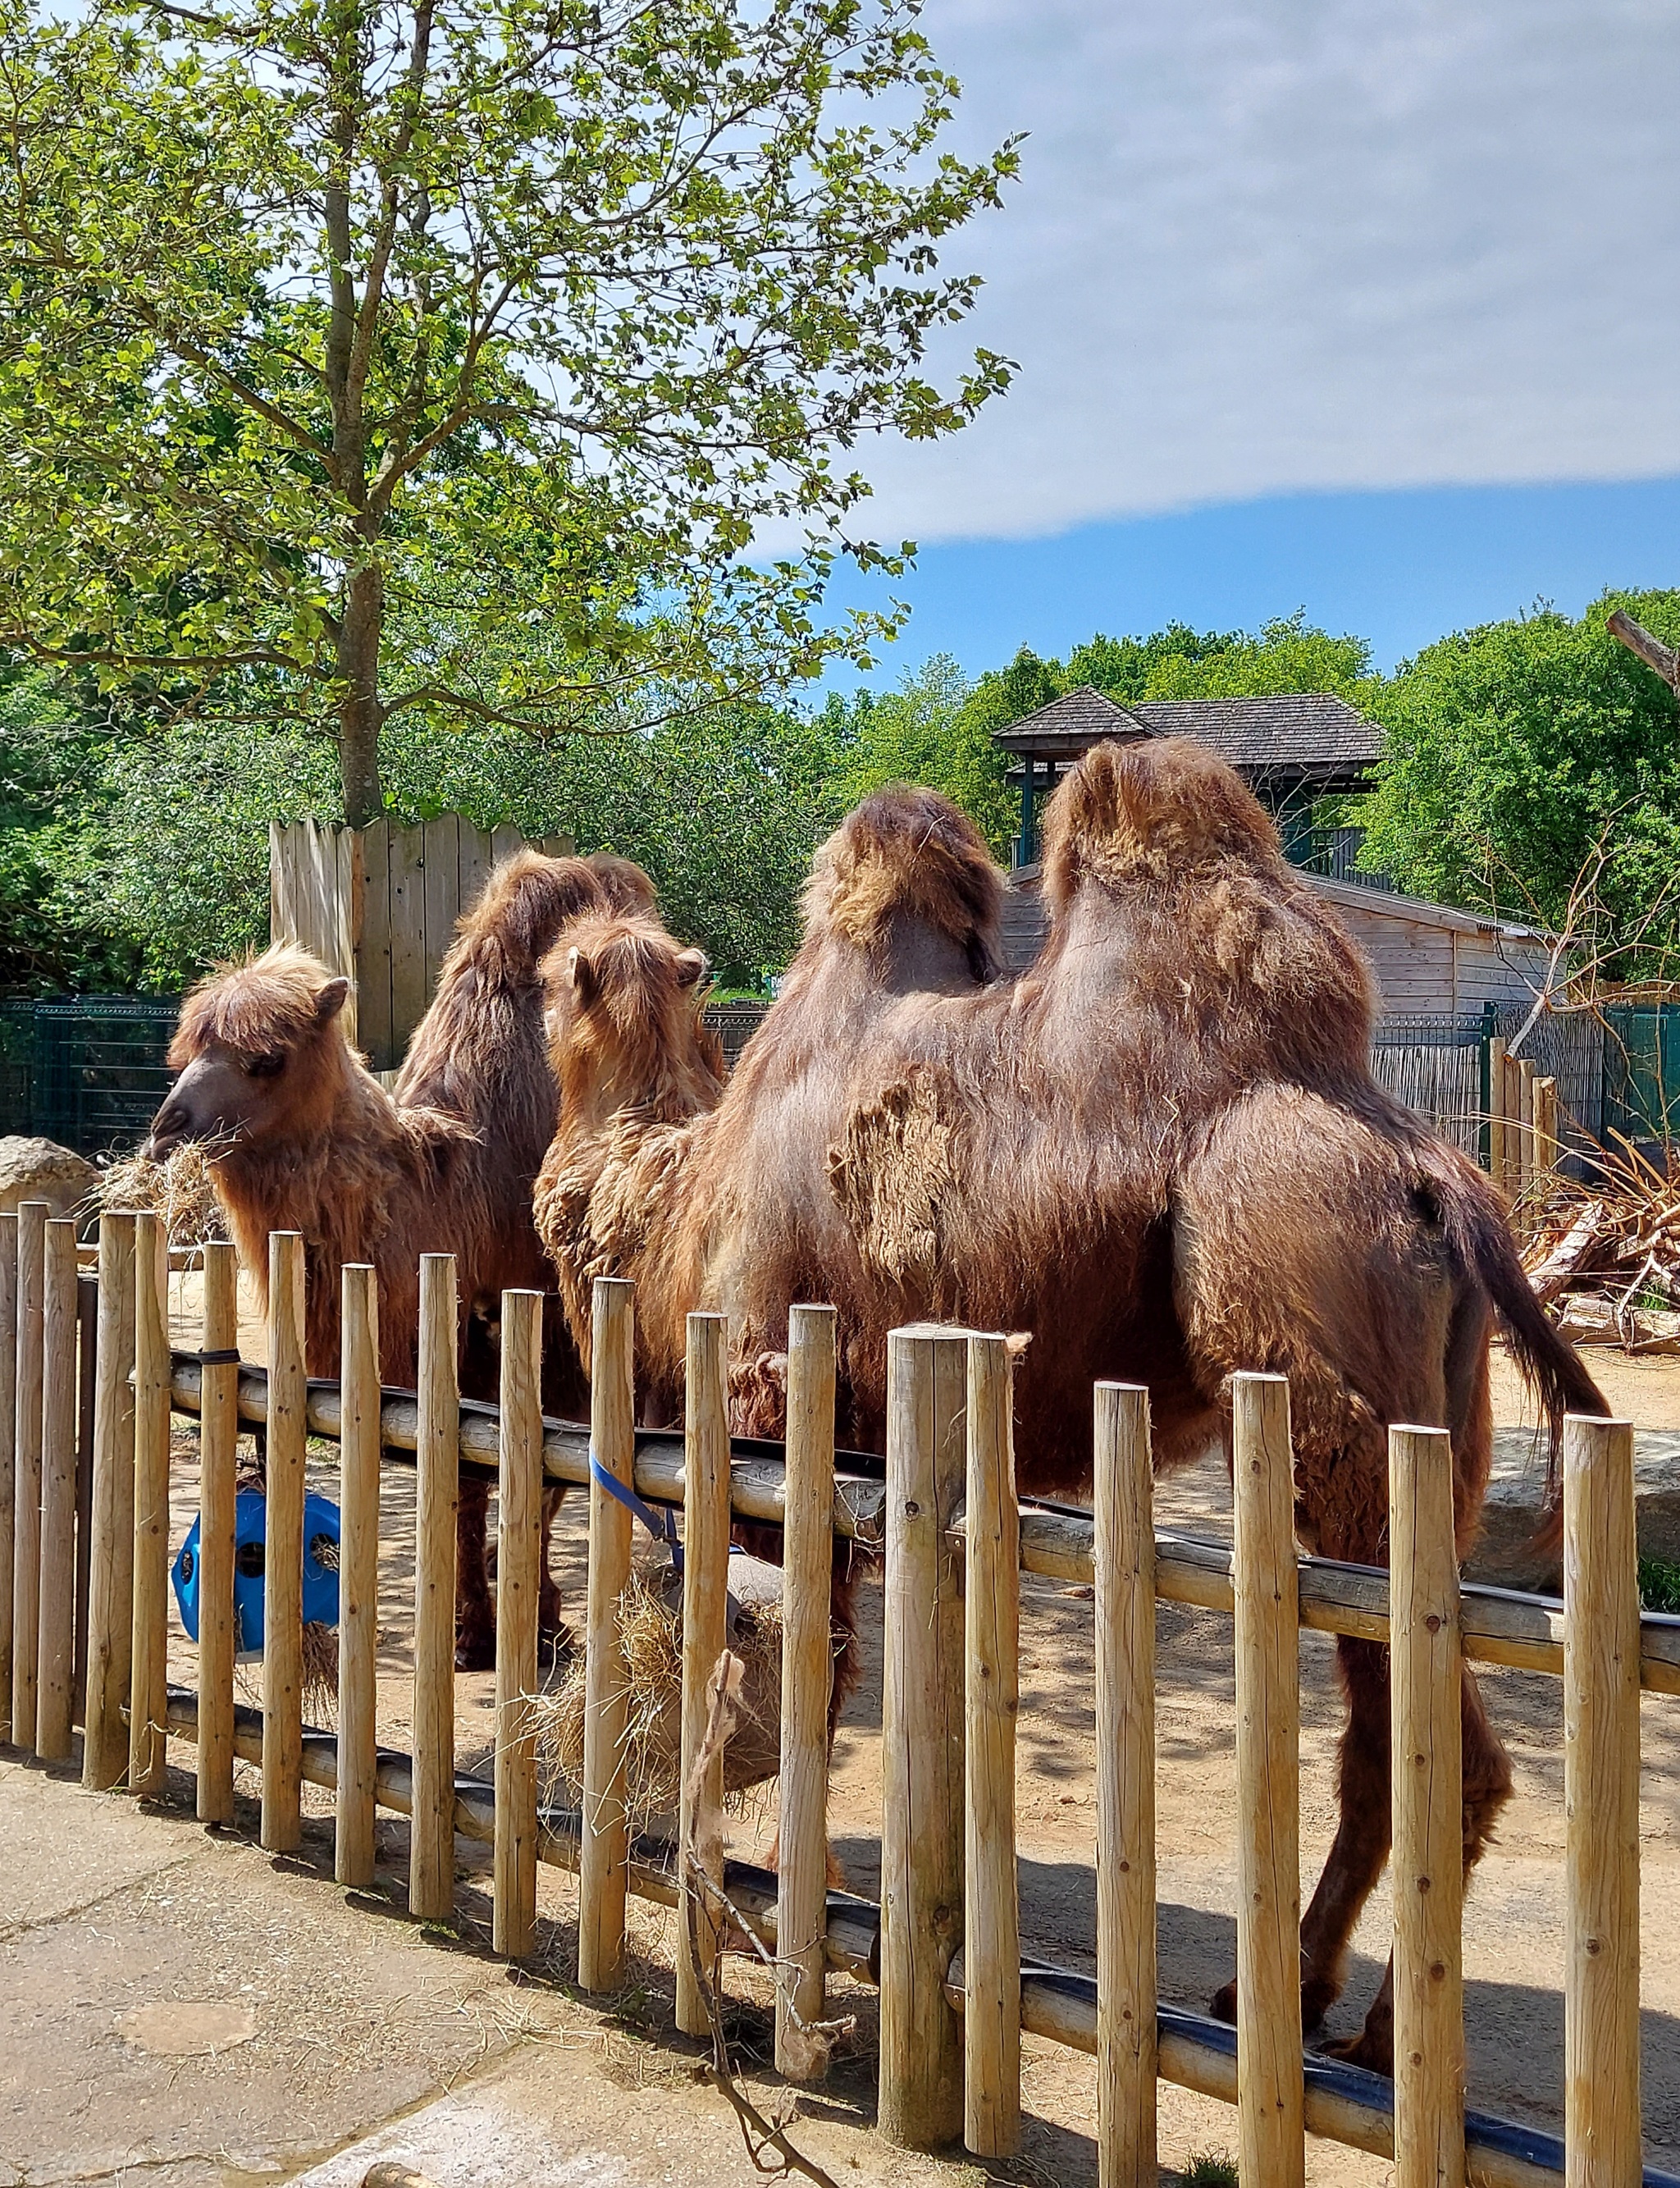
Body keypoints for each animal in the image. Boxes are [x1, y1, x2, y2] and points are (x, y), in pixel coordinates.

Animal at [146, 844, 656, 1662]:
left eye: (267, 1058)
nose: (168, 1128)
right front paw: (472, 1627)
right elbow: (462, 1471)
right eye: (188, 1051)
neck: (460, 1176)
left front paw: (537, 1620)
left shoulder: (539, 1313)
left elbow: (541, 1465)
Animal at [533, 748, 1601, 2065]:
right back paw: (1297, 1999)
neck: (667, 1203)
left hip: (1331, 1388)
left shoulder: (772, 1402)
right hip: (1443, 1429)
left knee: (1423, 1730)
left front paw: (790, 1921)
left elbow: (795, 1678)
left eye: (552, 979)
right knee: (1391, 1736)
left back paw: (1357, 2025)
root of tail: (1438, 1179)